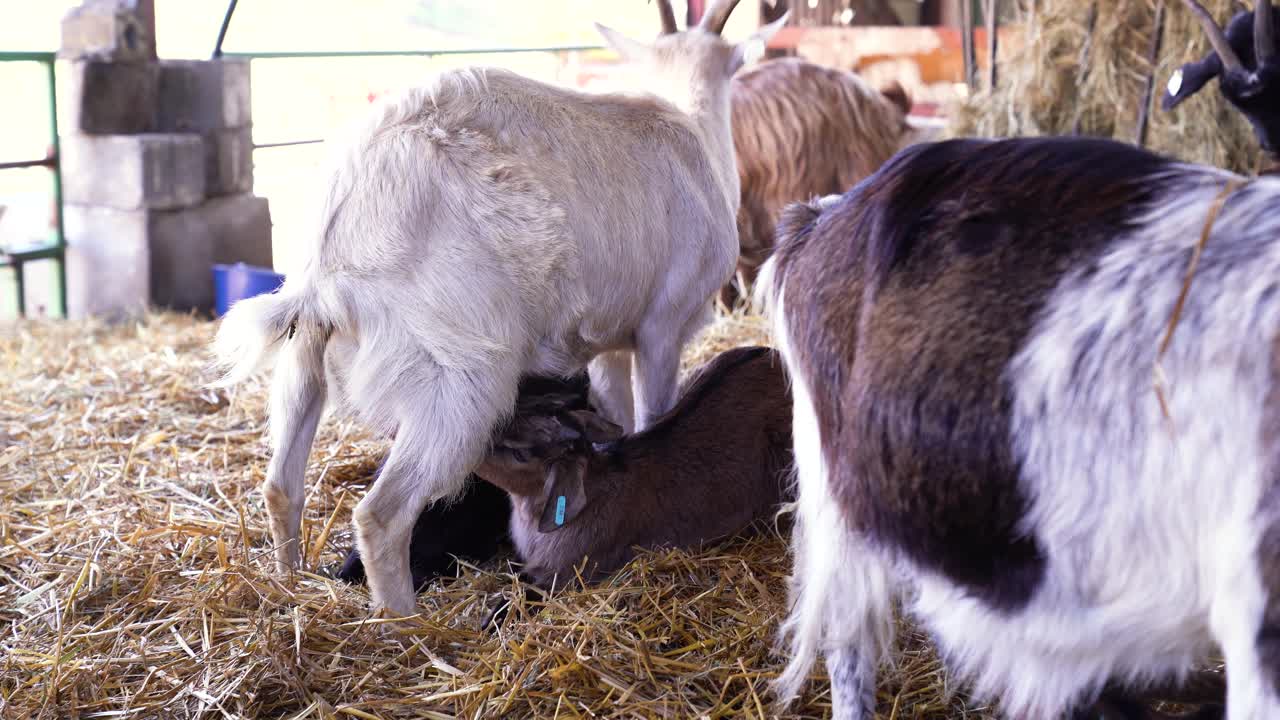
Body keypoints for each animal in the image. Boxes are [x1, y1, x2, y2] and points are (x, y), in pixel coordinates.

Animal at [210, 0, 790, 616]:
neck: (692, 128)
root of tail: (333, 250)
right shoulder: (663, 325)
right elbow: (656, 418)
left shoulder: (610, 342)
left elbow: (619, 419)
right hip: (457, 381)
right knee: (381, 515)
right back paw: (405, 623)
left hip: (303, 356)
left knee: (281, 485)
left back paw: (290, 588)